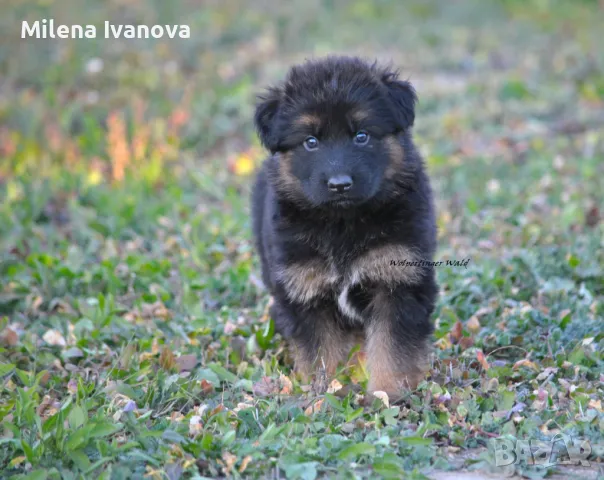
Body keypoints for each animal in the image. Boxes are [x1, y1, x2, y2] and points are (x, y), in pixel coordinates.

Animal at [250, 55, 438, 398]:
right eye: (311, 142)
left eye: (361, 135)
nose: (340, 185)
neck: (342, 222)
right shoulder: (305, 288)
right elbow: (320, 352)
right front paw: (324, 392)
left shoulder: (398, 280)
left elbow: (392, 346)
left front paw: (387, 393)